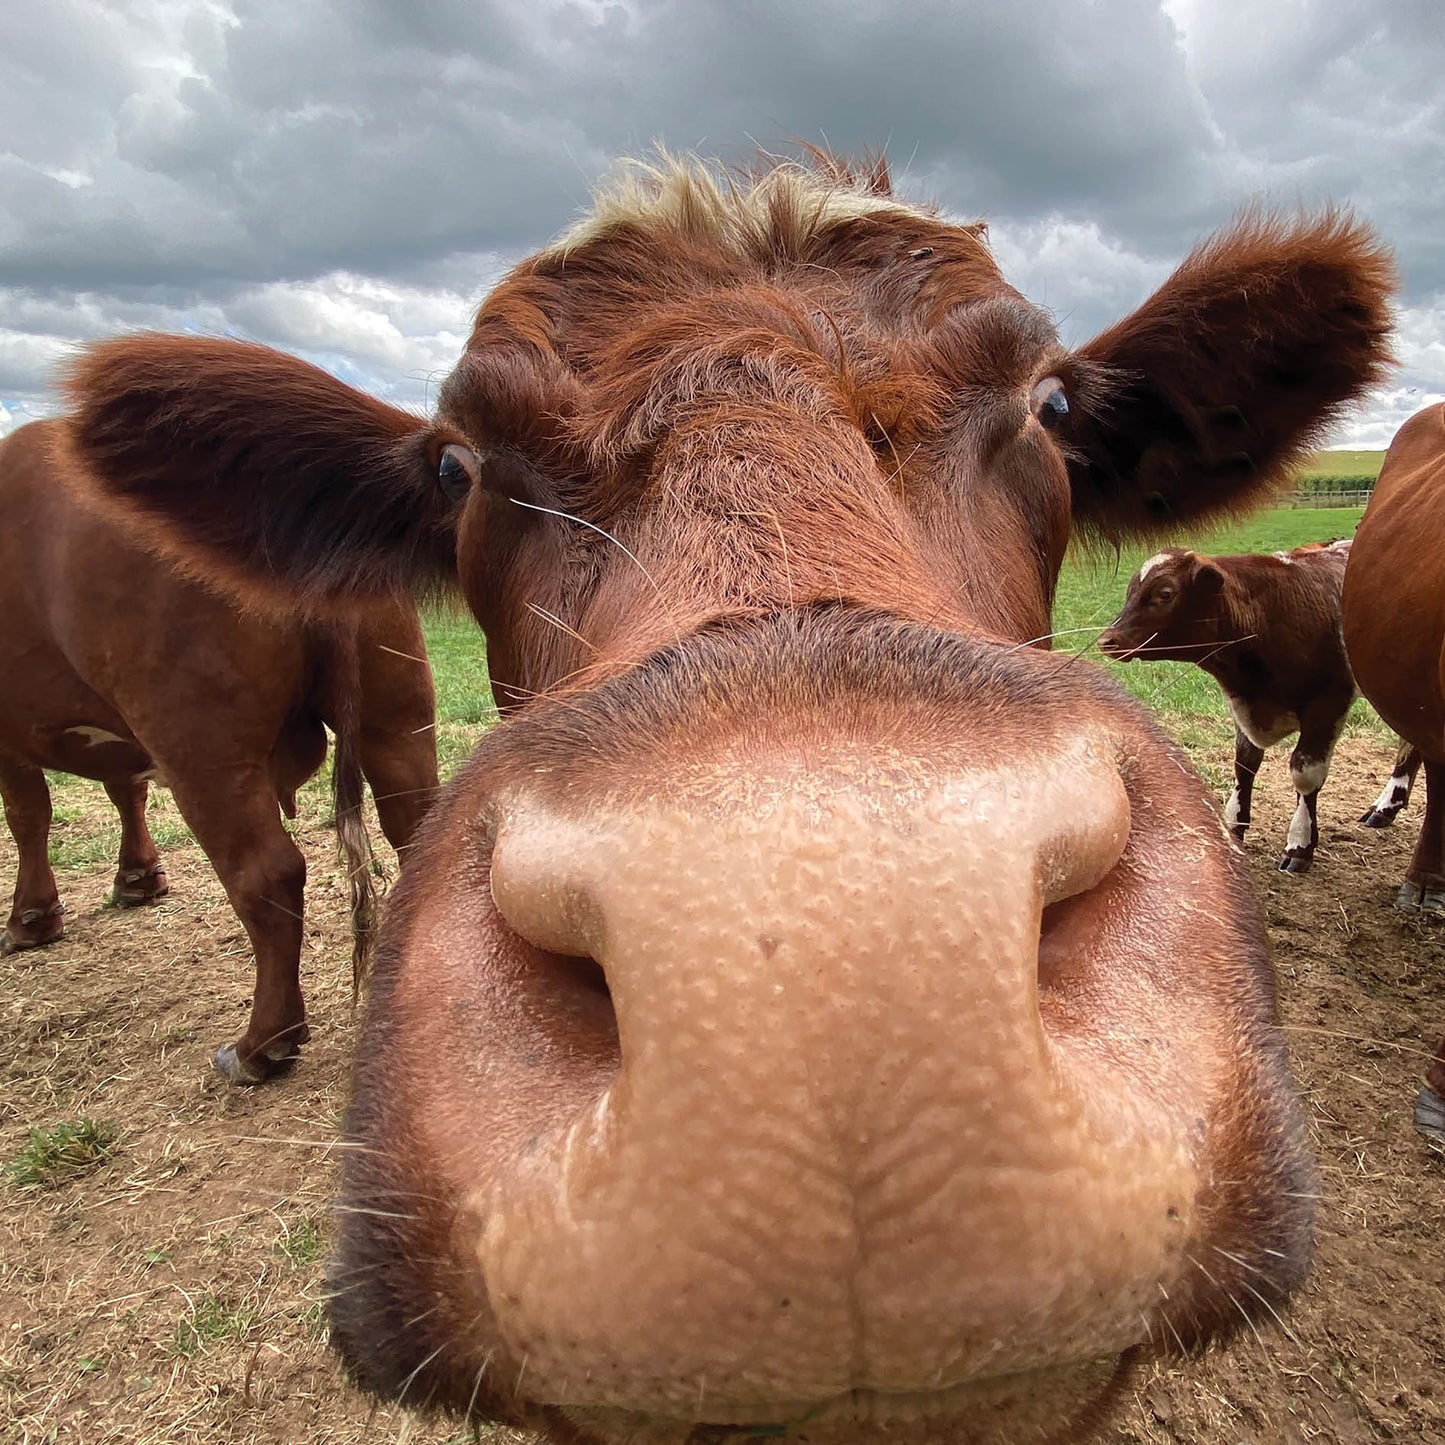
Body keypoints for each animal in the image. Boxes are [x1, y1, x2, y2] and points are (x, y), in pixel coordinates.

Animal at [0, 419, 440, 1084]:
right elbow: (124, 788)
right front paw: (138, 878)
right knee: (415, 830)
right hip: (396, 717)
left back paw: (264, 1044)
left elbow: (29, 816)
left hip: (203, 749)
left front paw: (31, 918)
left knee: (266, 875)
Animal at [1097, 540, 1356, 874]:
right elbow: (1244, 765)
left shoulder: (1328, 705)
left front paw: (1300, 844)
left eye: (1165, 593)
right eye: (1130, 589)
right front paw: (1233, 827)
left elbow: (1305, 774)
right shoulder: (1241, 706)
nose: (1107, 640)